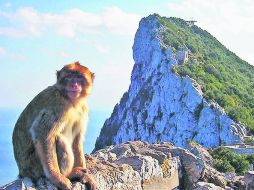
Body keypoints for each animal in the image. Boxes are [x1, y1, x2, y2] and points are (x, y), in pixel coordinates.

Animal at [11, 61, 97, 189]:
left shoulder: (83, 109)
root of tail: (22, 172)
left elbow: (77, 138)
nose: (74, 85)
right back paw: (69, 174)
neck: (71, 102)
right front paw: (57, 178)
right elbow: (43, 134)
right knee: (58, 139)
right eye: (69, 77)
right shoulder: (57, 105)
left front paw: (86, 177)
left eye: (79, 78)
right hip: (34, 167)